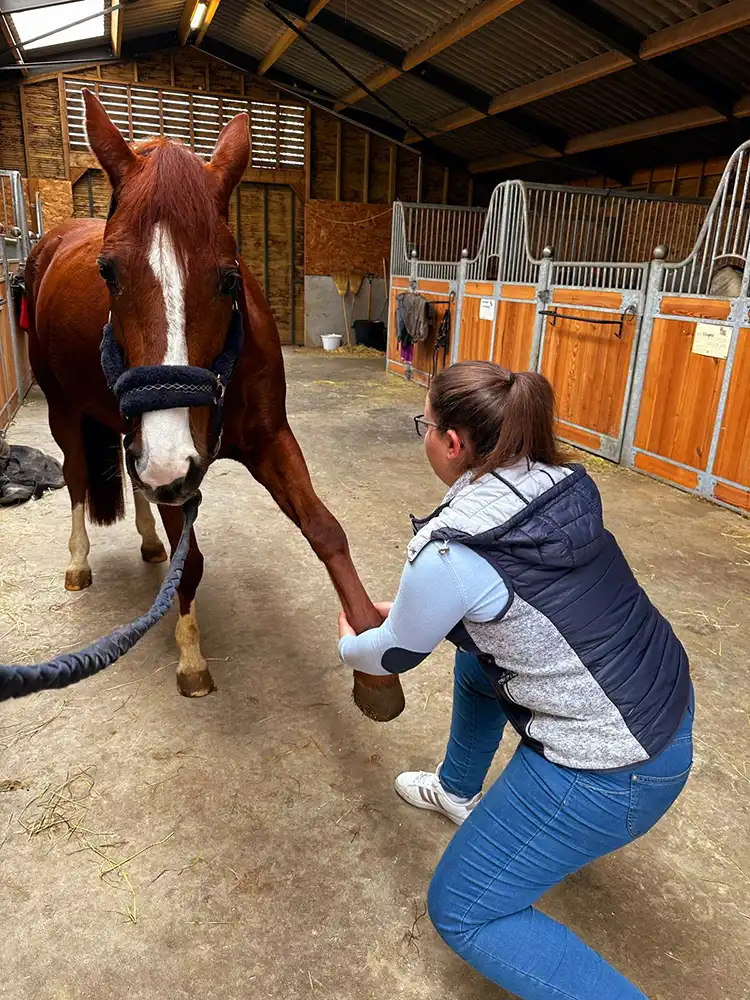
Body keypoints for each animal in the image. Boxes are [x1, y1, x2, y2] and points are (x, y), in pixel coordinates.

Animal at [22, 90, 404, 722]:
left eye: (229, 277)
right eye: (107, 271)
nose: (170, 463)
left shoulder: (269, 439)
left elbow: (325, 529)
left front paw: (374, 667)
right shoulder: (173, 471)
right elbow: (192, 561)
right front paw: (191, 659)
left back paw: (150, 542)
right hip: (66, 411)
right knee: (77, 478)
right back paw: (79, 563)